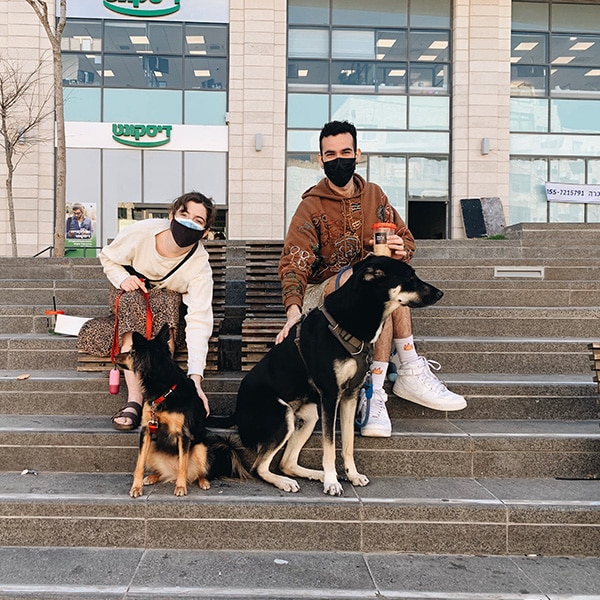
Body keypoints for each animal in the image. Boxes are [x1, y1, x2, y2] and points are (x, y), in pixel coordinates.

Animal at [117, 324, 248, 496]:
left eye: (132, 352)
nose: (116, 355)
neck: (164, 390)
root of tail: (169, 473)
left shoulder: (183, 435)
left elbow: (182, 465)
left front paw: (180, 487)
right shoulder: (146, 431)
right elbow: (139, 465)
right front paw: (136, 487)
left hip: (201, 448)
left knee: (199, 472)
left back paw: (202, 481)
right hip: (152, 446)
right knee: (158, 469)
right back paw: (152, 476)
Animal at [232, 255, 442, 494]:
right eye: (410, 277)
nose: (440, 294)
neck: (351, 318)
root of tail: (236, 415)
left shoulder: (350, 395)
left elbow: (348, 443)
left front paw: (352, 475)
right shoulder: (330, 396)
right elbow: (330, 445)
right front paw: (332, 482)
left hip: (308, 417)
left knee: (287, 463)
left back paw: (316, 474)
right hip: (282, 416)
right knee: (259, 467)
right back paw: (289, 481)